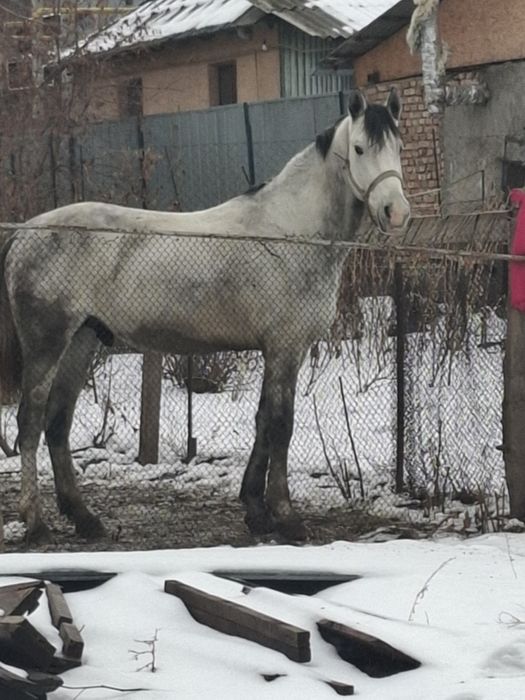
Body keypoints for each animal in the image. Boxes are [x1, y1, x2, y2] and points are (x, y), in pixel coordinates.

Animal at [0, 88, 409, 545]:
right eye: (359, 148)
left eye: (398, 146)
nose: (396, 212)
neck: (291, 231)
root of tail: (25, 231)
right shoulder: (285, 348)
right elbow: (280, 425)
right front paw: (286, 517)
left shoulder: (277, 351)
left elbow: (263, 421)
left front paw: (256, 511)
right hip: (47, 345)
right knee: (30, 423)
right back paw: (36, 524)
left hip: (82, 340)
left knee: (57, 423)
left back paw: (85, 518)